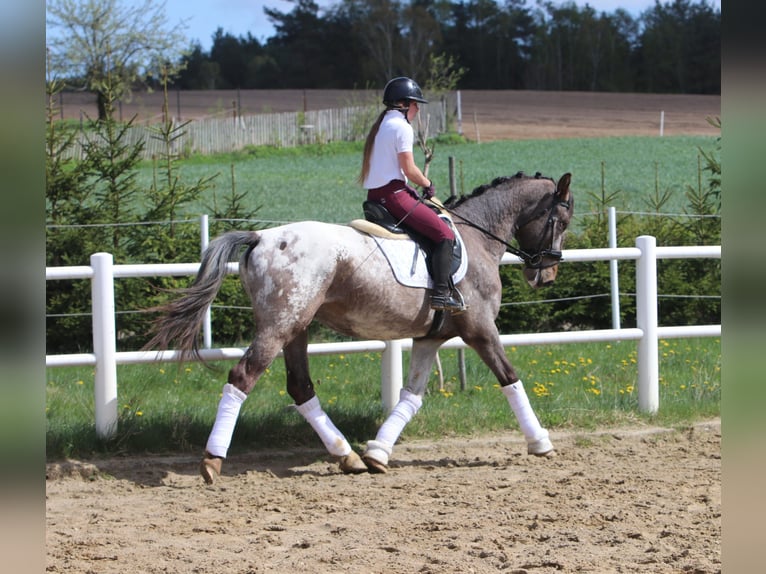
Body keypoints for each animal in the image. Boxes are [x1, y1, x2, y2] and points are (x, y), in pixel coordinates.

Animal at [147, 171, 572, 482]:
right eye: (561, 220)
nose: (547, 275)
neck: (477, 236)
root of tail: (262, 237)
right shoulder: (480, 330)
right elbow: (510, 378)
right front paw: (541, 442)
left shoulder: (429, 338)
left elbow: (411, 397)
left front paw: (378, 453)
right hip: (279, 327)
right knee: (242, 377)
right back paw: (212, 460)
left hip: (297, 328)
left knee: (300, 387)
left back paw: (347, 455)